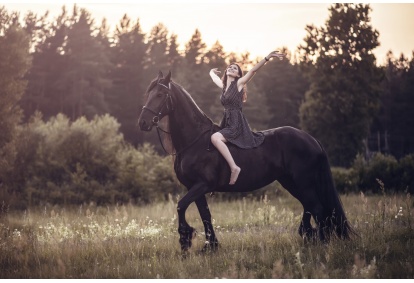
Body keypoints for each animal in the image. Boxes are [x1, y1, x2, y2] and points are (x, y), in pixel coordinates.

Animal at [137, 71, 354, 253]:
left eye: (160, 95)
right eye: (148, 94)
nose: (143, 123)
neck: (195, 141)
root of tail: (311, 139)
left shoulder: (202, 185)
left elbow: (181, 206)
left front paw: (185, 240)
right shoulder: (195, 188)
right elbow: (205, 215)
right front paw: (210, 247)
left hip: (303, 182)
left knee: (316, 207)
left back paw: (320, 243)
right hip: (290, 182)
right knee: (309, 206)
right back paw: (309, 235)